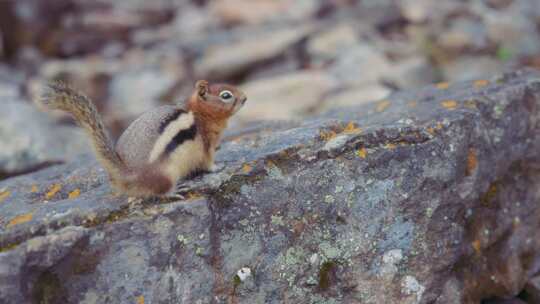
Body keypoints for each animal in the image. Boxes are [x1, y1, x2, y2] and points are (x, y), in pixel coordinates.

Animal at [39, 79, 247, 196]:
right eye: (226, 95)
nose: (245, 98)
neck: (199, 113)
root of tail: (126, 173)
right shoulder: (207, 144)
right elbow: (208, 162)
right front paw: (219, 167)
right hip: (166, 174)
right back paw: (174, 192)